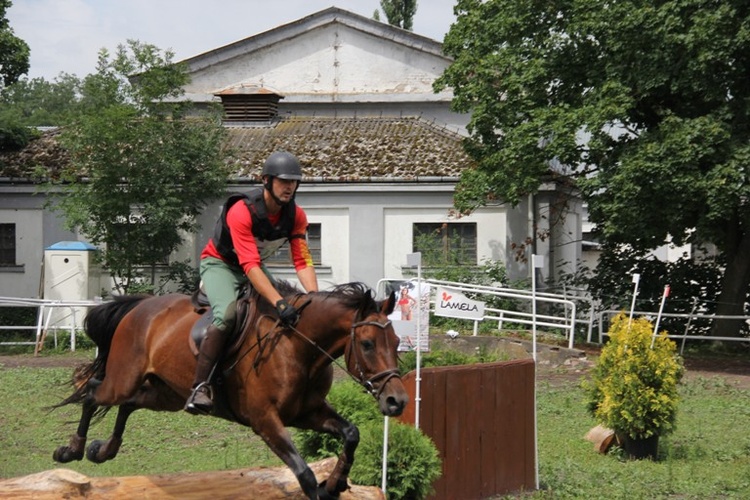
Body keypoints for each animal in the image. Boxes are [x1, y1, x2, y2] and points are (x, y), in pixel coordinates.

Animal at [51, 284, 412, 498]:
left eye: (396, 342)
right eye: (367, 344)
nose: (397, 401)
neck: (299, 348)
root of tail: (142, 306)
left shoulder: (306, 412)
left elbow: (350, 434)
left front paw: (336, 483)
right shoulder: (265, 420)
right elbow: (305, 475)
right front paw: (324, 486)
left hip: (166, 394)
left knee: (128, 404)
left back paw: (103, 450)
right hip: (123, 378)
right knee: (93, 392)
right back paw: (71, 450)